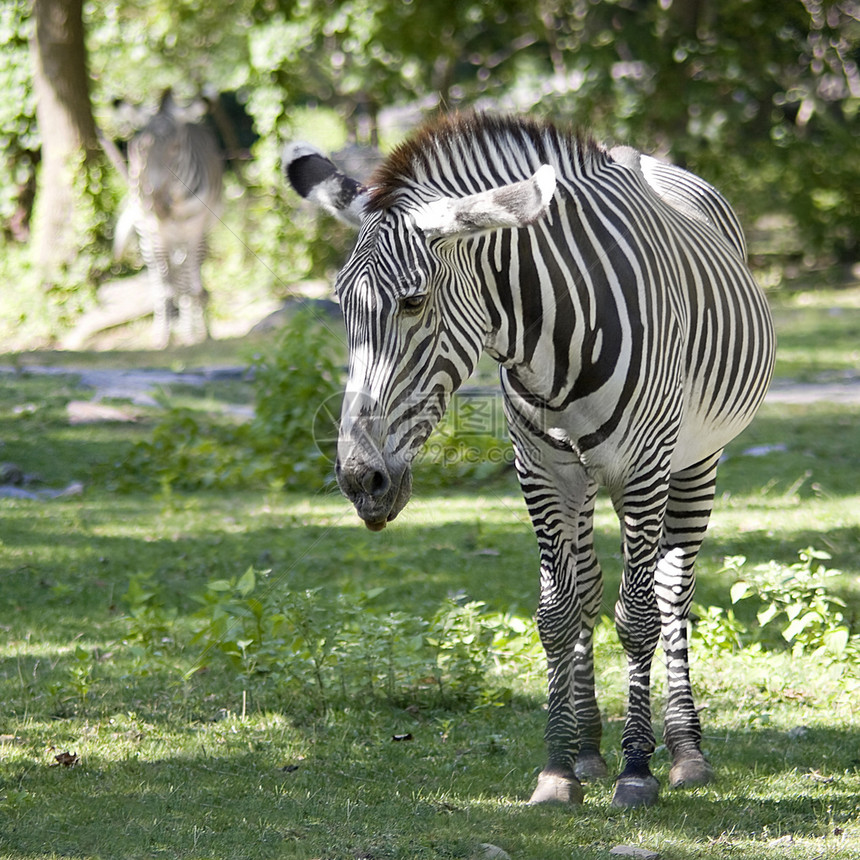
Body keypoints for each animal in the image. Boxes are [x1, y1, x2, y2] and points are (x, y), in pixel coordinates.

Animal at [117, 92, 225, 348]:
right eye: (141, 149)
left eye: (176, 148)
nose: (156, 205)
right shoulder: (157, 232)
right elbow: (165, 288)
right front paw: (164, 338)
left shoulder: (195, 229)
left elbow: (190, 285)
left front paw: (192, 335)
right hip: (146, 233)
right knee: (160, 280)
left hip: (195, 233)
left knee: (188, 277)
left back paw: (198, 327)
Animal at [286, 112, 776, 808]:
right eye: (340, 305)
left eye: (413, 302)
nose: (361, 481)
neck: (550, 340)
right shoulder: (540, 470)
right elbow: (556, 614)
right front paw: (560, 767)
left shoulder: (643, 469)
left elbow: (638, 618)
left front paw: (637, 770)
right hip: (584, 480)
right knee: (591, 589)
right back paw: (591, 747)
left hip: (695, 459)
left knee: (672, 594)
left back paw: (685, 752)